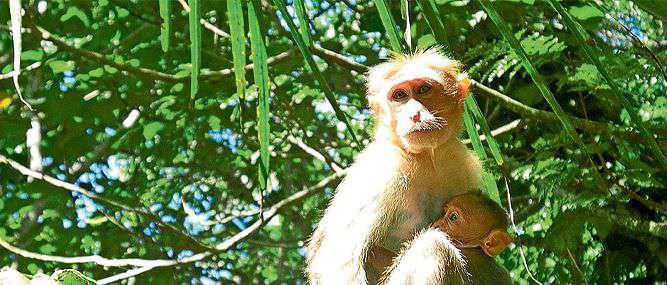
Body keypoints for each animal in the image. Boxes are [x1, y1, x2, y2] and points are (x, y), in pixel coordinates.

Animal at [306, 49, 512, 284]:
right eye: (399, 96)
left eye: (424, 89)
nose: (415, 114)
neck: (426, 158)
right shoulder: (380, 170)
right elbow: (337, 257)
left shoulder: (462, 163)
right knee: (434, 246)